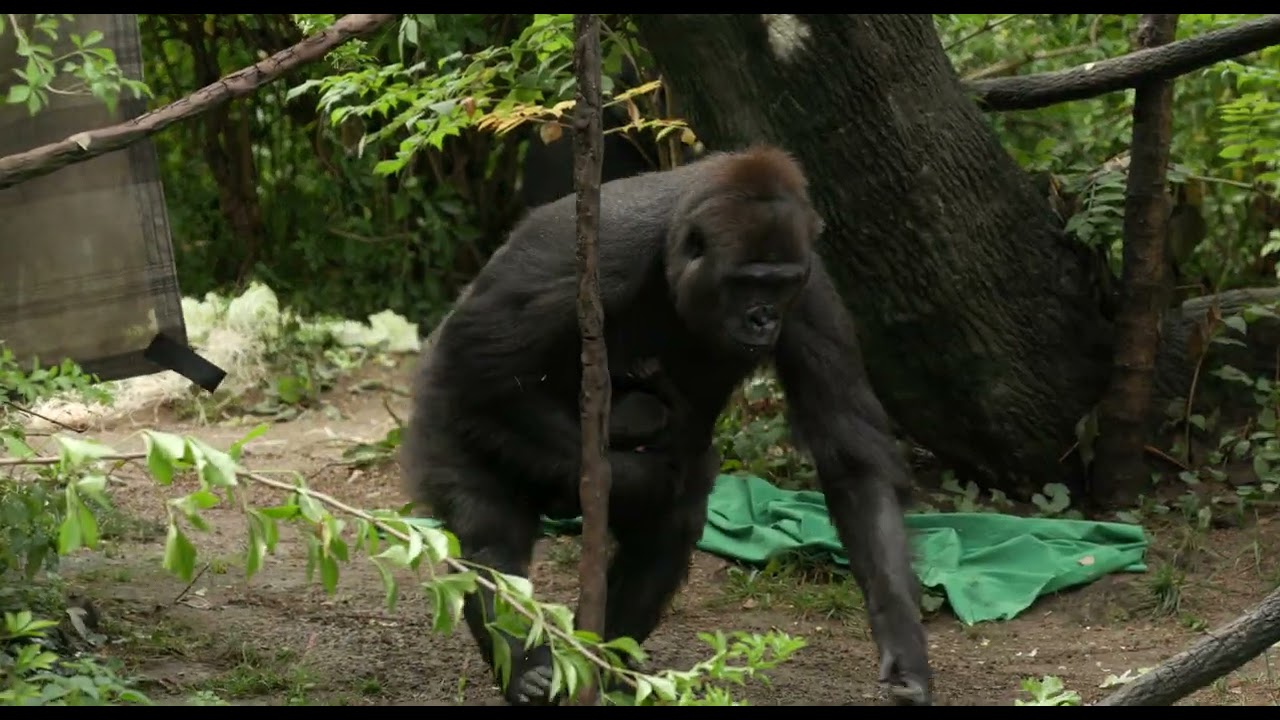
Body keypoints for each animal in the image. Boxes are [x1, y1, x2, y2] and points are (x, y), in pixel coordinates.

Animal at [401, 145, 932, 706]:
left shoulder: (811, 291)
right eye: (748, 281)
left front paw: (902, 639)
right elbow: (482, 363)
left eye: (780, 284)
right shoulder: (603, 251)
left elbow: (850, 455)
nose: (764, 318)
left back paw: (600, 665)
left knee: (663, 531)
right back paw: (528, 668)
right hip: (440, 411)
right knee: (487, 526)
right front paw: (647, 471)